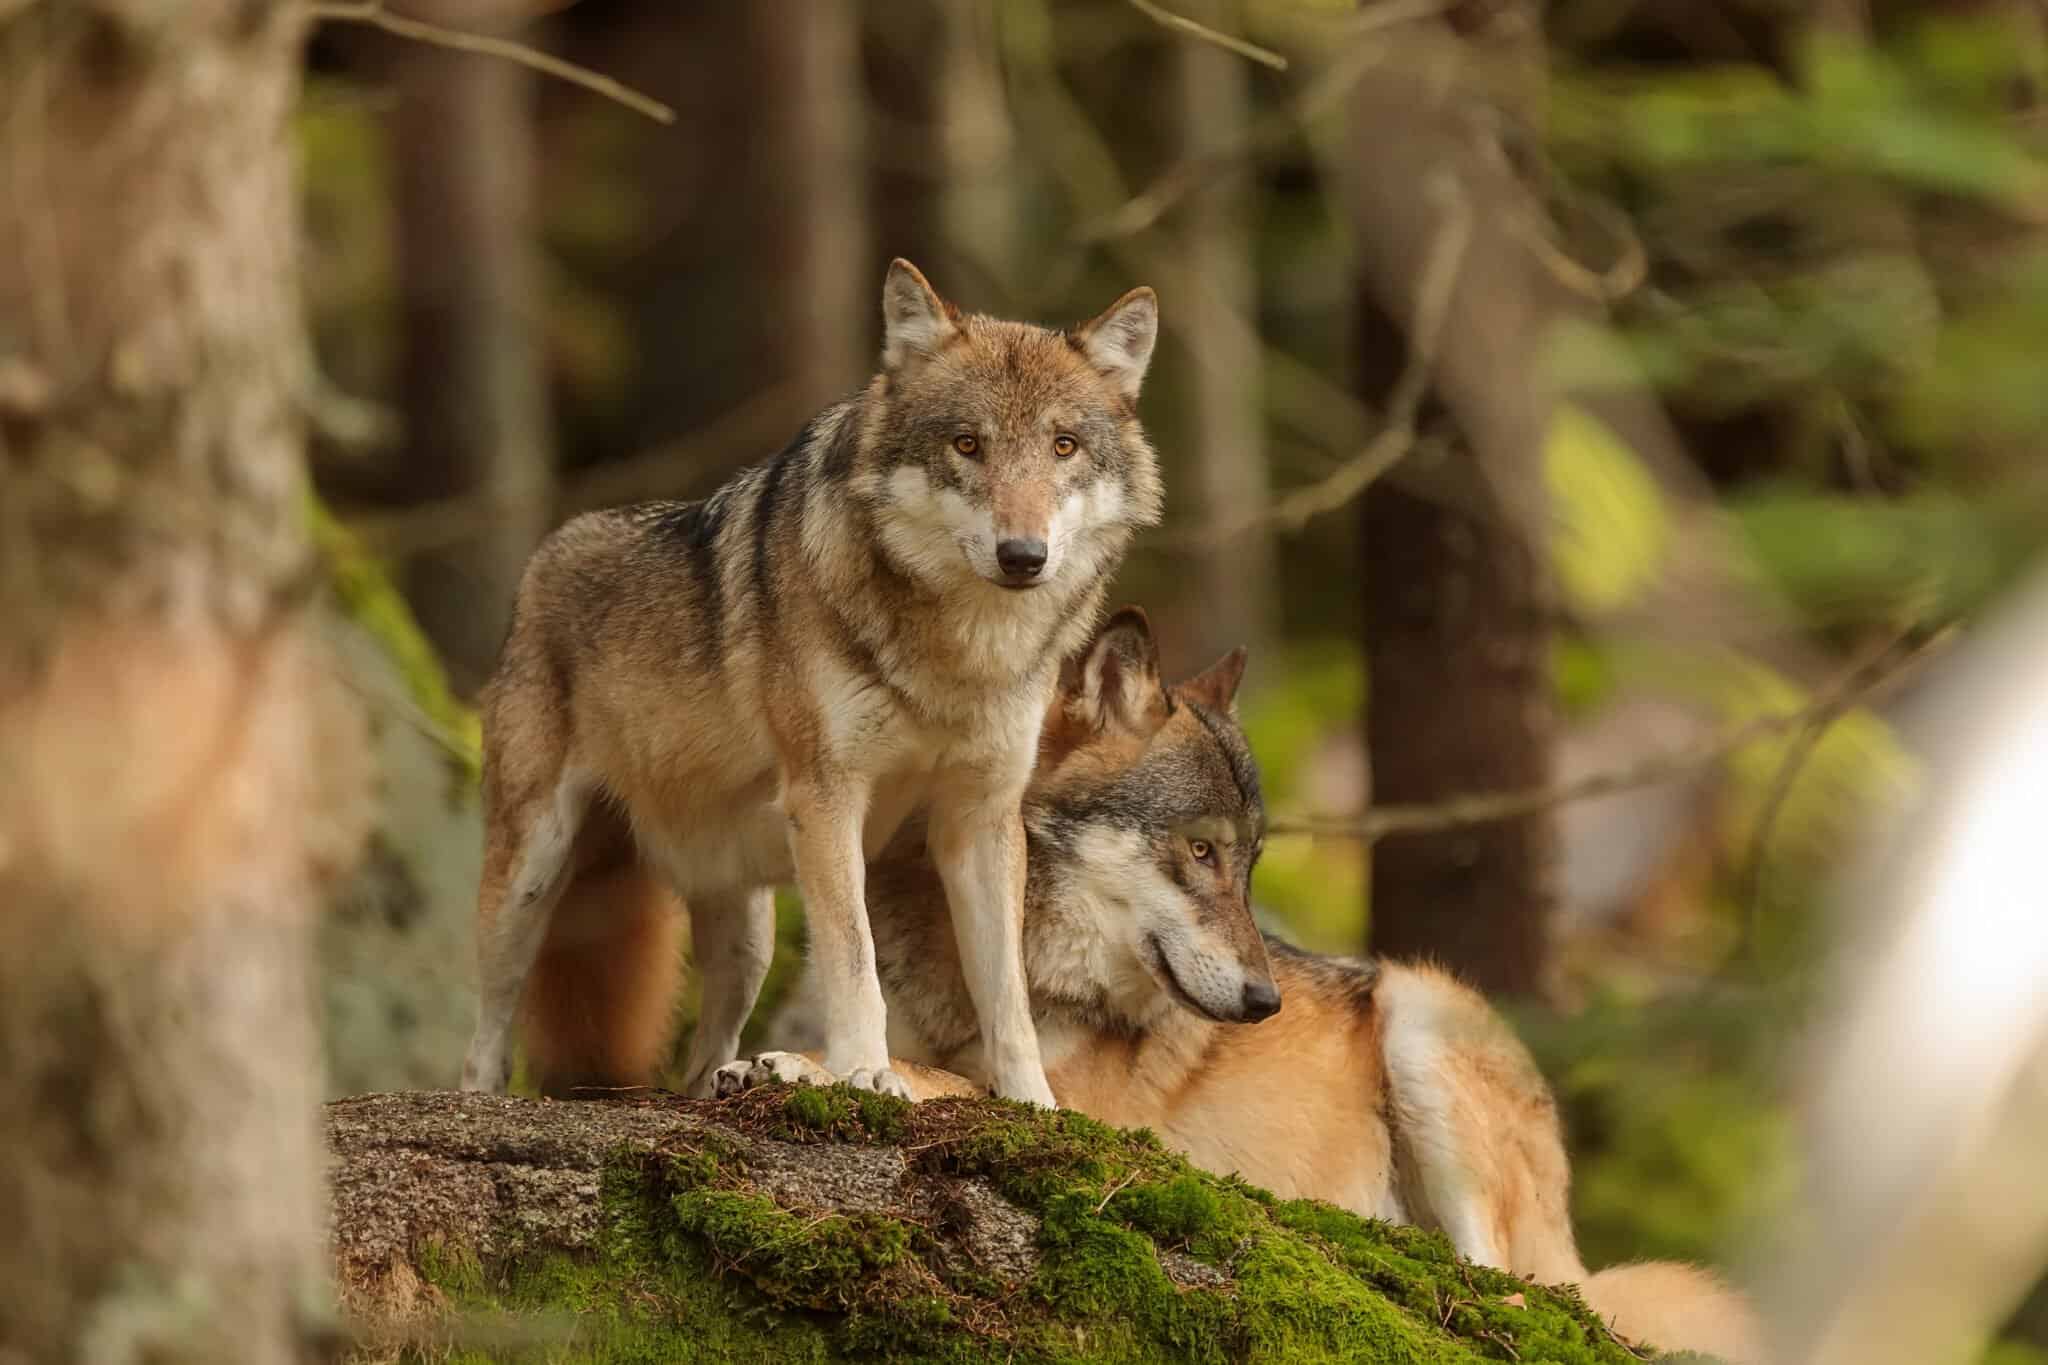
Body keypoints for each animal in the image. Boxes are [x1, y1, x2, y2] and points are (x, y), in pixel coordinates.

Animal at [458, 260, 1164, 1105]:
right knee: (485, 1023)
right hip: (530, 875)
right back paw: (476, 1096)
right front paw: (864, 1072)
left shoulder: (982, 817)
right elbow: (853, 959)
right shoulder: (828, 798)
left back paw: (721, 1083)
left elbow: (1007, 993)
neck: (959, 657)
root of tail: (543, 555)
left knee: (707, 1048)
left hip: (746, 936)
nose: (1023, 555)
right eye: (967, 443)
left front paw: (1034, 1103)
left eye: (1064, 445)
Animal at [722, 610, 1767, 1365]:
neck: (960, 965)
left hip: (1422, 1016)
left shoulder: (1074, 1113)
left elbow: (933, 1080)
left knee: (1512, 1286)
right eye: (1200, 851)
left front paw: (804, 1066)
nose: (1267, 1005)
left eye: (1252, 863)